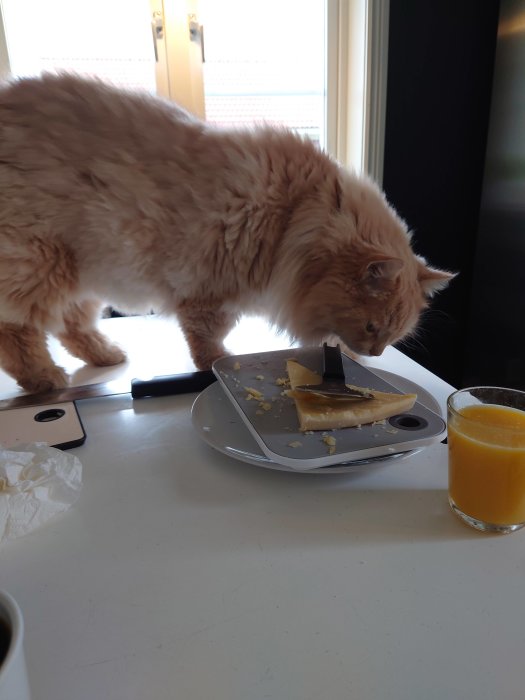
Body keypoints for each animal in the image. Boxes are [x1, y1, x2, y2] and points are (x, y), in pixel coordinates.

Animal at [0, 74, 450, 396]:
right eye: (372, 328)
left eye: (391, 335)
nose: (376, 352)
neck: (298, 215)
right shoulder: (212, 288)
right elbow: (206, 338)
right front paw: (217, 363)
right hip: (41, 261)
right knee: (19, 330)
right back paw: (44, 378)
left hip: (84, 271)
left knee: (72, 325)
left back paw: (106, 355)